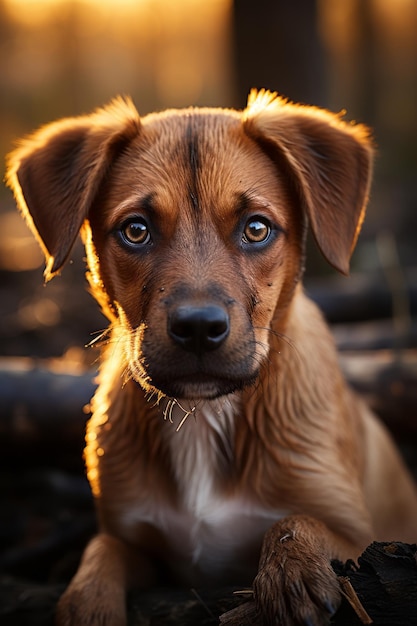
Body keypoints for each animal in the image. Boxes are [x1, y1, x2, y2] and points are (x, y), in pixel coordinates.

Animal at [5, 89, 416, 624]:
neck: (204, 415)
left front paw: (292, 572)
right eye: (135, 230)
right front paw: (87, 604)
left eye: (256, 228)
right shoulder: (137, 539)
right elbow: (100, 552)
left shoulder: (357, 531)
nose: (198, 329)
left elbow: (296, 521)